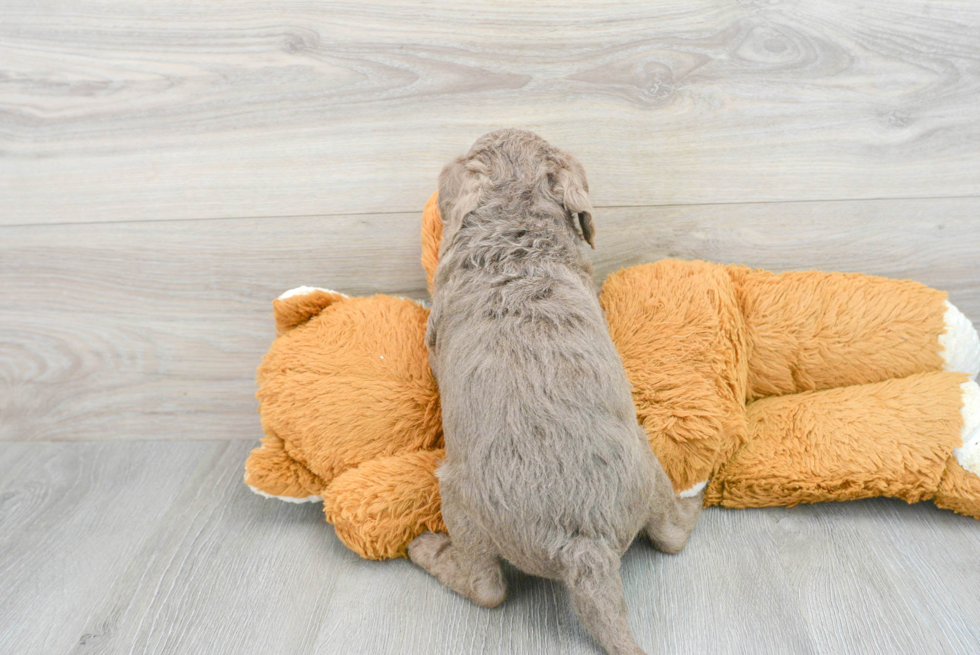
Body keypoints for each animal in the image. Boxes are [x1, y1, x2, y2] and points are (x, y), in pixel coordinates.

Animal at [410, 129, 700, 655]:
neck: (516, 234)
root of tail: (585, 547)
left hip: (460, 503)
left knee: (488, 590)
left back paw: (429, 550)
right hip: (647, 465)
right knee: (670, 535)